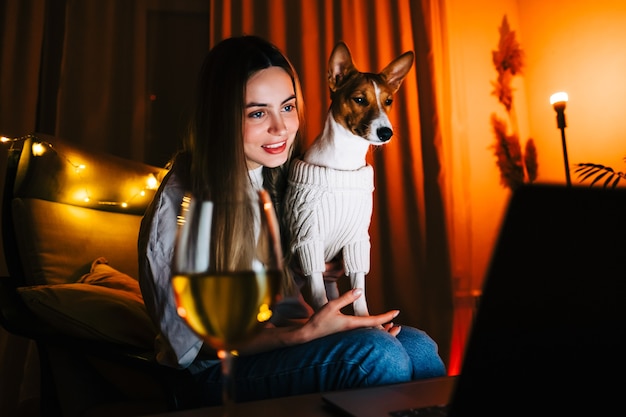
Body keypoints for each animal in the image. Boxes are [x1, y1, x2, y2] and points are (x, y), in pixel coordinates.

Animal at [284, 41, 412, 316]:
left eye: (388, 101)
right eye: (360, 99)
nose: (386, 132)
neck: (344, 160)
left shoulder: (357, 242)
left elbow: (358, 292)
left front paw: (365, 319)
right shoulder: (308, 242)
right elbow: (320, 297)